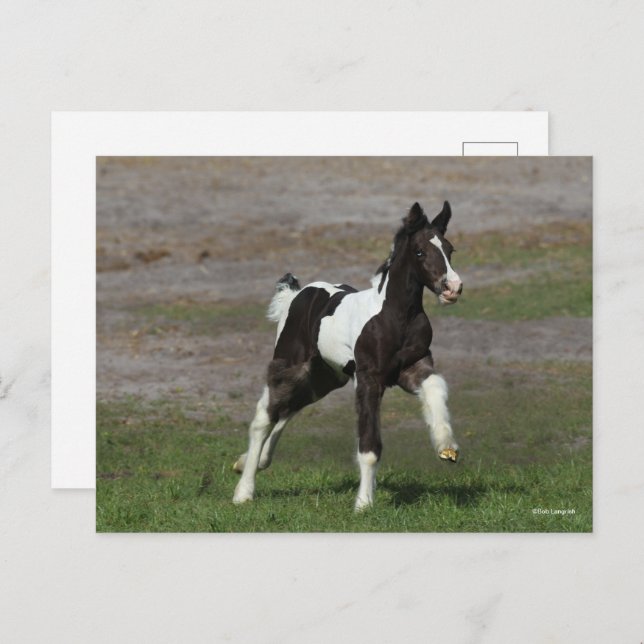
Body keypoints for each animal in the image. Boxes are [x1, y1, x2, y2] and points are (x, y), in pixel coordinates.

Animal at [232, 201, 463, 511]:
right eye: (419, 251)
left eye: (450, 249)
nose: (453, 288)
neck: (394, 316)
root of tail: (296, 295)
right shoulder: (368, 379)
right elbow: (369, 446)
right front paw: (364, 503)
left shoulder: (413, 367)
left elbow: (436, 386)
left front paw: (446, 445)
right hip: (290, 365)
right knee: (264, 417)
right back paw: (243, 491)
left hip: (325, 377)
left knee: (290, 409)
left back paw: (254, 462)